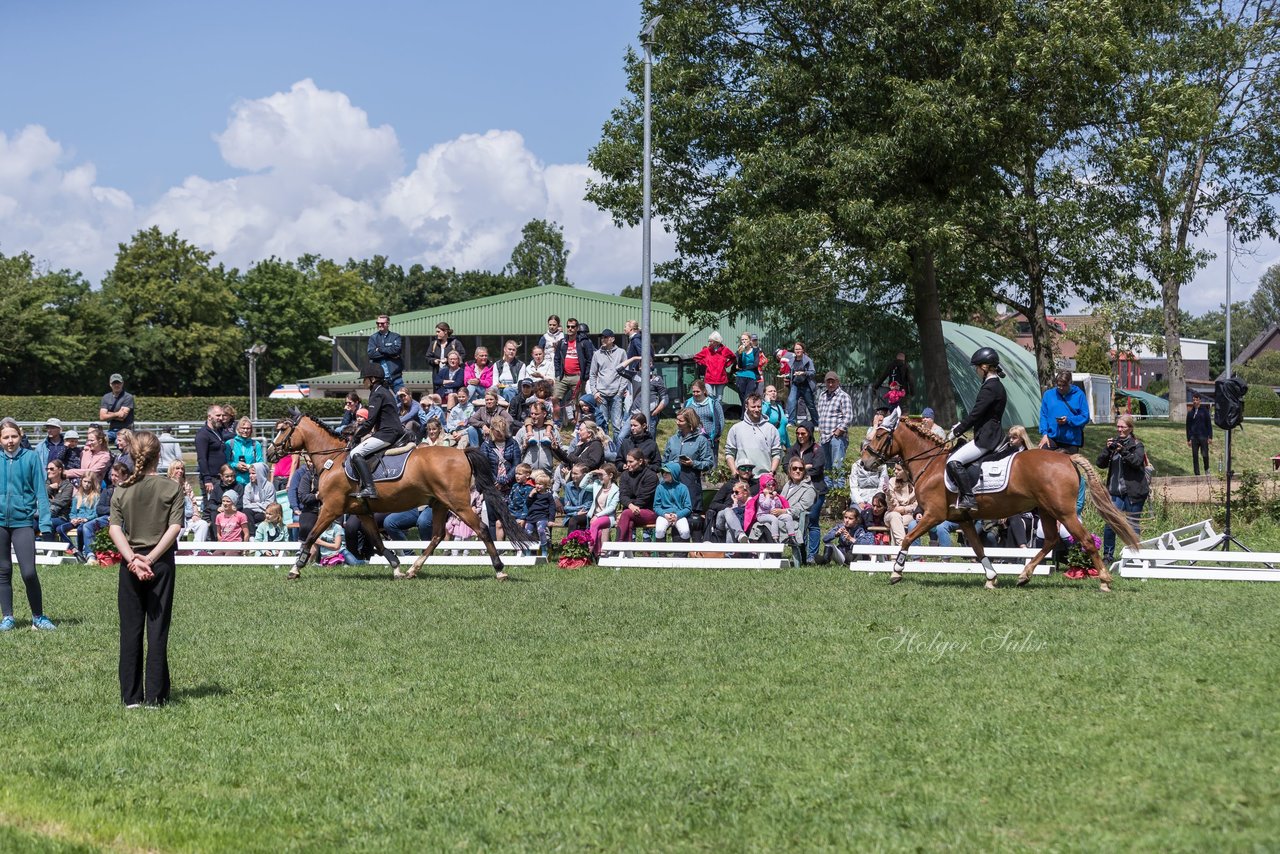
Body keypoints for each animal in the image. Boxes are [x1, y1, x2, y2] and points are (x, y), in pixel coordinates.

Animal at [267, 412, 527, 583]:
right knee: (436, 536)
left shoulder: (331, 508)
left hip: (459, 503)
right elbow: (378, 542)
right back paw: (413, 570)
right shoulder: (363, 512)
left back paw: (500, 570)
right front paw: (396, 568)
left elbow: (311, 536)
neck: (334, 460)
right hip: (440, 504)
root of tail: (462, 452)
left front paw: (295, 569)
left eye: (283, 429)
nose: (269, 453)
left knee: (481, 529)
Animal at [865, 409, 1136, 591]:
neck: (930, 463)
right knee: (1050, 540)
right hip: (1047, 510)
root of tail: (1066, 458)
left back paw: (1104, 580)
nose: (866, 462)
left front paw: (896, 572)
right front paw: (991, 578)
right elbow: (978, 548)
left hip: (1064, 512)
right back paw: (1024, 575)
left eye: (879, 435)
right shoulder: (964, 520)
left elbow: (907, 538)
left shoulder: (933, 514)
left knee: (1086, 540)